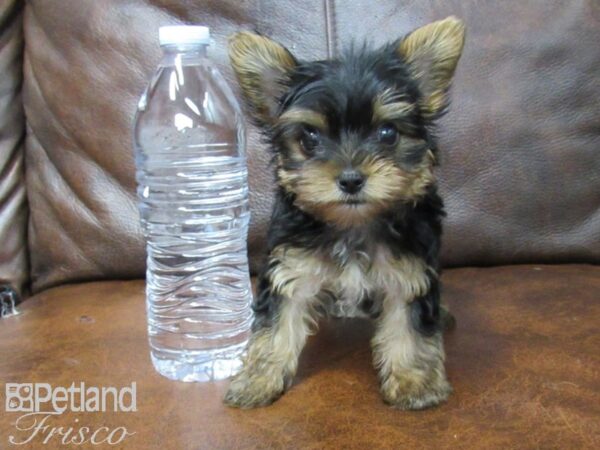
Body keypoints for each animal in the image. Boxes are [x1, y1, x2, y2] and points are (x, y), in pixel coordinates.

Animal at [225, 15, 464, 410]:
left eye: (387, 133)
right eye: (309, 138)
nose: (351, 179)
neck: (352, 225)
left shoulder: (410, 269)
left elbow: (410, 326)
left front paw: (414, 383)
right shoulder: (291, 267)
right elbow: (274, 327)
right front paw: (255, 380)